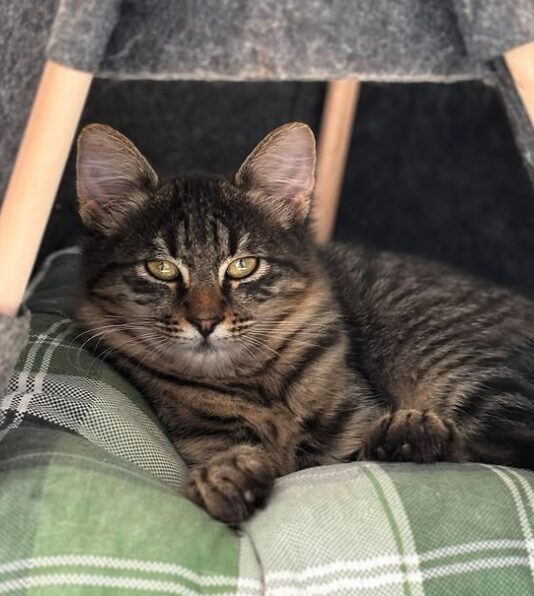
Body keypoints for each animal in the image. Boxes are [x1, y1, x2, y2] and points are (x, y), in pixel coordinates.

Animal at [76, 123, 534, 524]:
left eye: (243, 266)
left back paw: (409, 434)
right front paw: (225, 477)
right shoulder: (205, 439)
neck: (254, 383)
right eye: (161, 269)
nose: (206, 322)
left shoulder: (349, 431)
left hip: (456, 370)